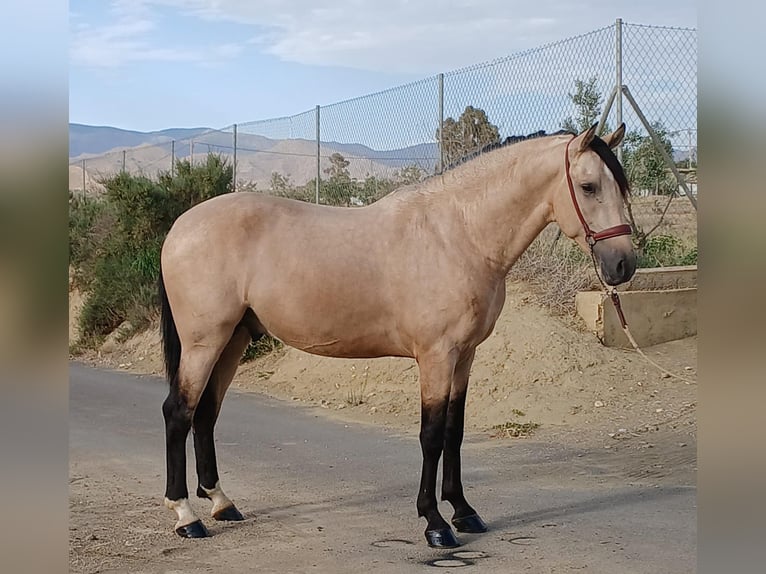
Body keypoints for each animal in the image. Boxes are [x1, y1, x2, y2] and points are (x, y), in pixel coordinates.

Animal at [158, 122, 636, 548]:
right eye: (589, 186)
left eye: (621, 186)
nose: (623, 265)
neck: (457, 235)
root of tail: (179, 227)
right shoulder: (436, 356)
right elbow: (431, 435)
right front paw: (436, 524)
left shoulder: (464, 357)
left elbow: (454, 432)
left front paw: (464, 512)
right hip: (205, 342)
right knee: (179, 413)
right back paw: (186, 516)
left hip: (233, 340)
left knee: (206, 413)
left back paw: (222, 503)